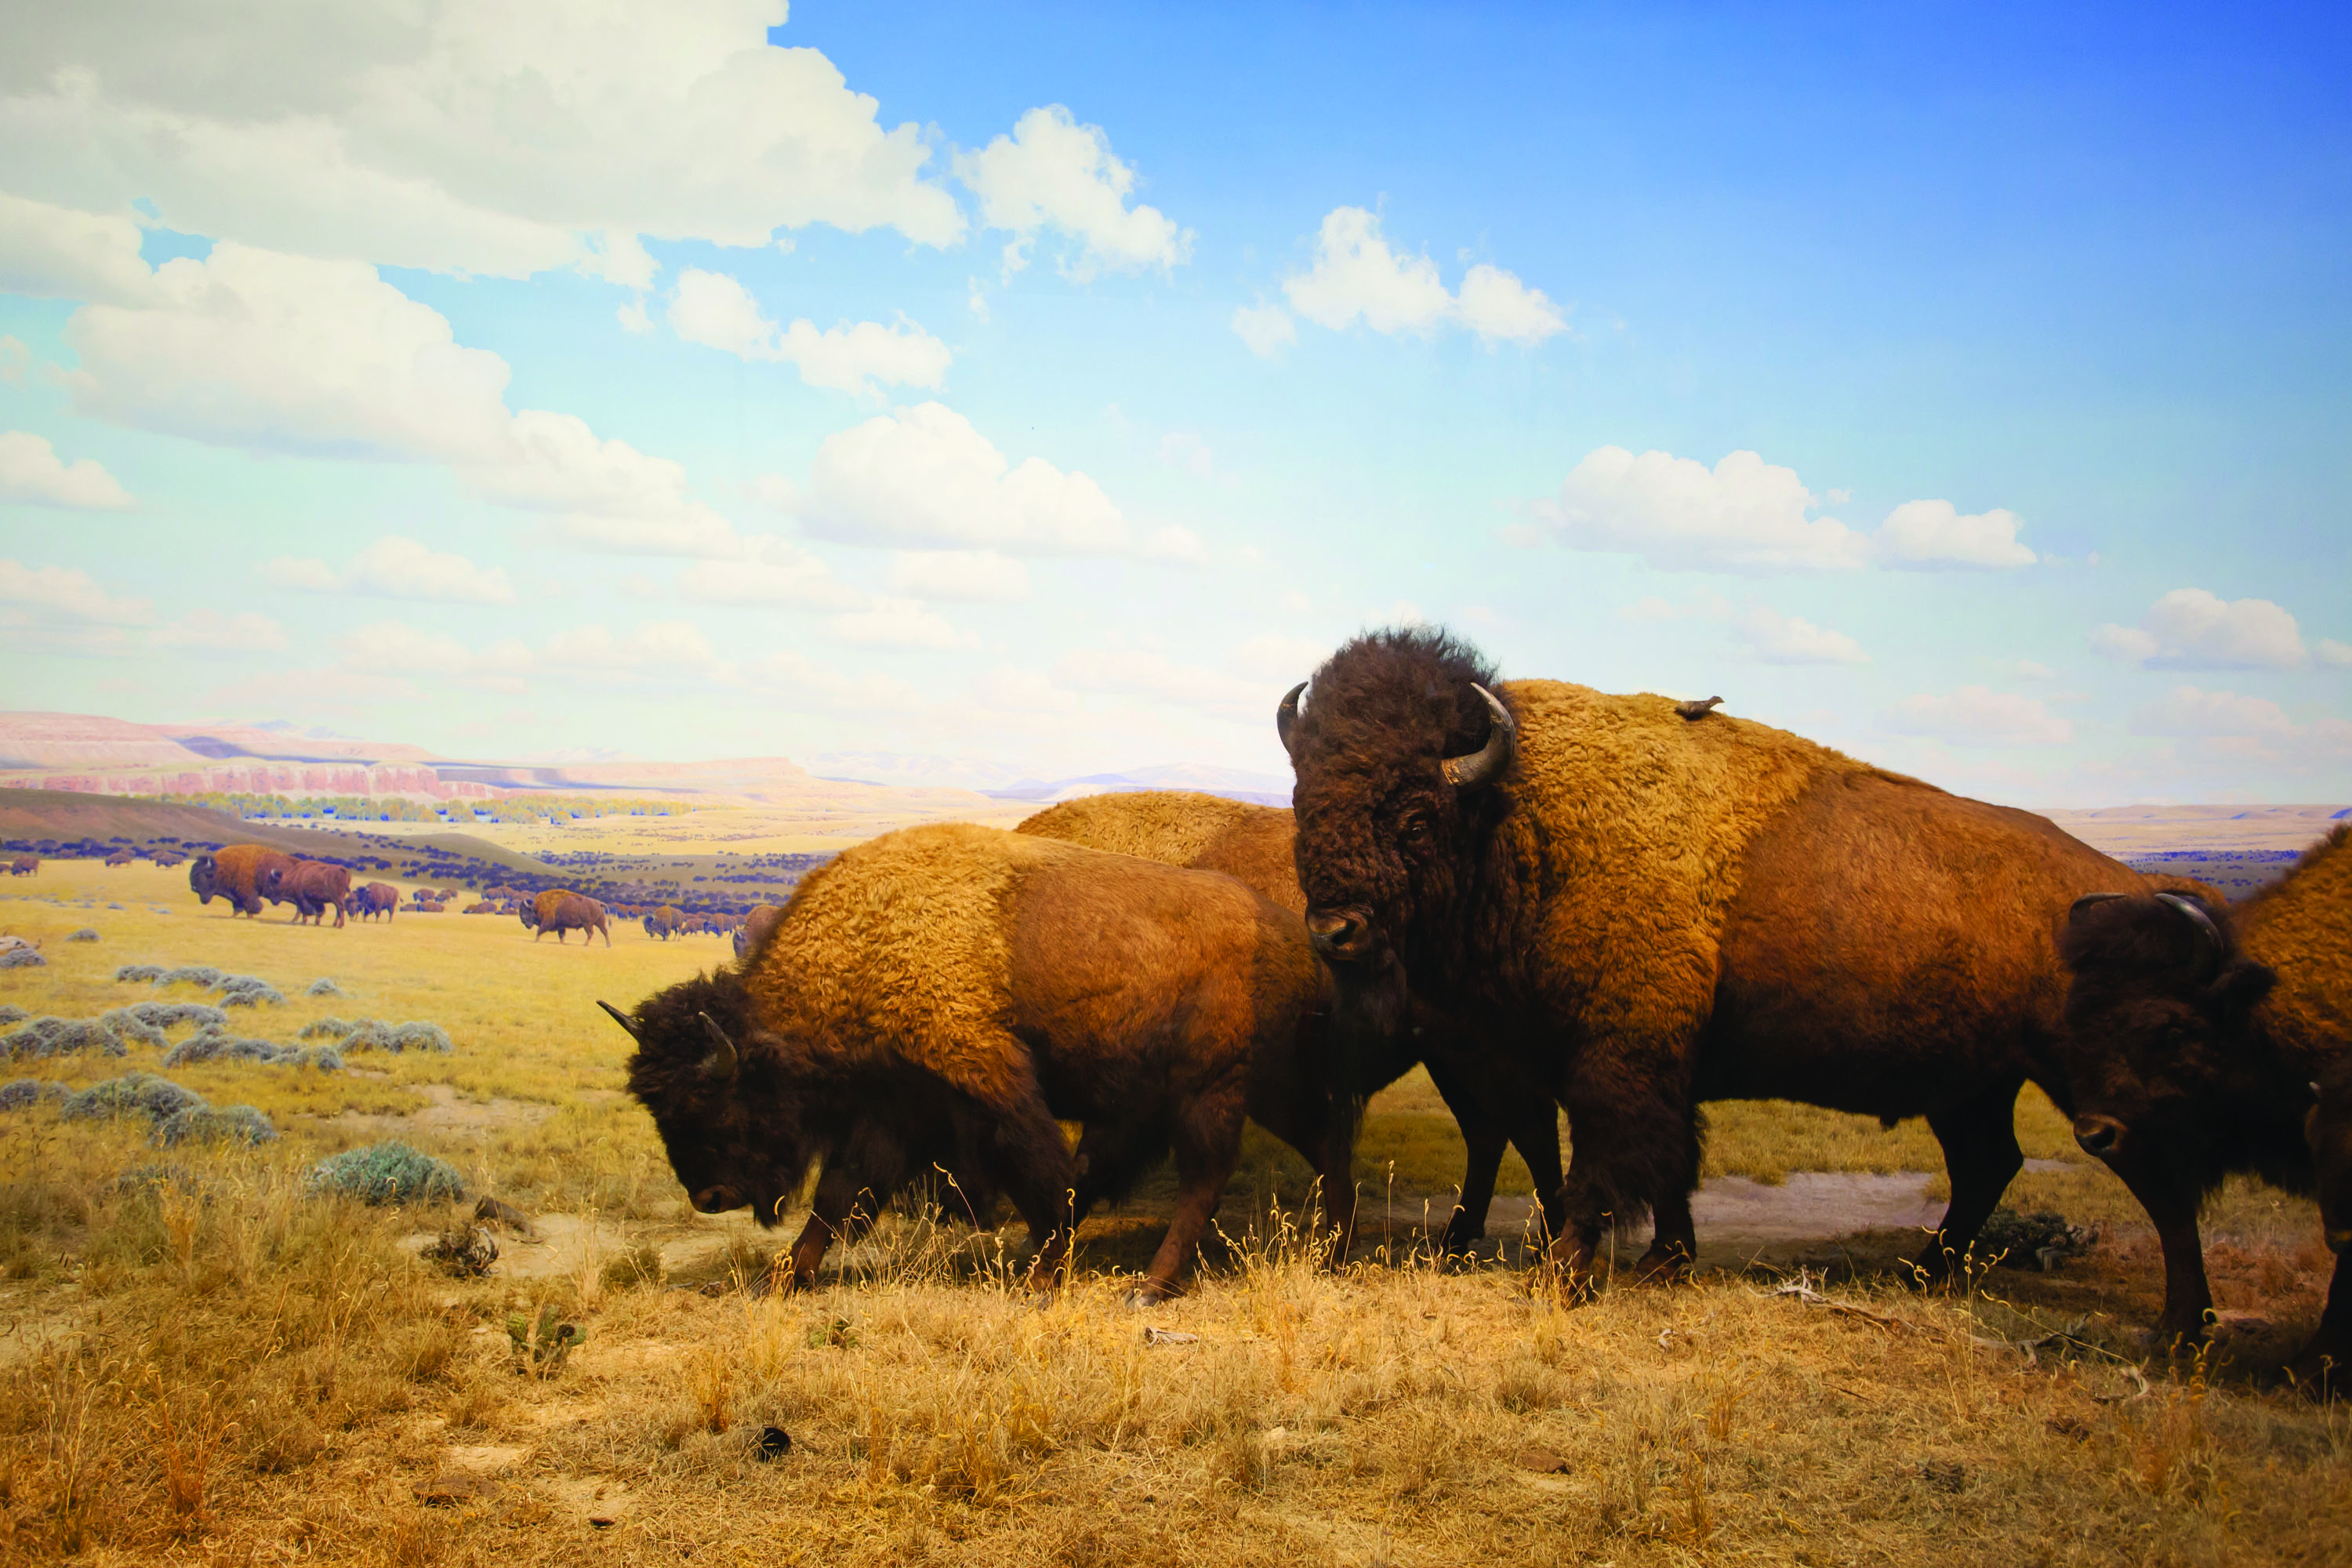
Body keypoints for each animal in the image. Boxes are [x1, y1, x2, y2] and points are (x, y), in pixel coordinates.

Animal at [189, 845, 297, 918]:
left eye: (201, 875)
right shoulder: (237, 897)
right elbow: (239, 908)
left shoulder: (247, 893)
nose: (194, 888)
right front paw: (234, 916)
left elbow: (252, 906)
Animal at [610, 823, 1344, 1299]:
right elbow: (840, 1194)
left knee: (1204, 1182)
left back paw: (1149, 1288)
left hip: (1209, 1094)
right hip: (1248, 1091)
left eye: (717, 1101)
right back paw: (1334, 1249)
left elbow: (1043, 1178)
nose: (709, 1198)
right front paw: (782, 1277)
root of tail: (1294, 938)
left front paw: (1045, 1277)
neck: (869, 942)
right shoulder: (892, 1108)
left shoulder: (989, 1084)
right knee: (1324, 1144)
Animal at [1279, 626, 2169, 1289]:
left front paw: (1567, 1270)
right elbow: (1668, 1162)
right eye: (1305, 798)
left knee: (2136, 1170)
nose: (1335, 931)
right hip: (1976, 1084)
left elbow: (1605, 1160)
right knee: (1988, 1163)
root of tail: (2123, 881)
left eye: (1416, 816)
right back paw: (1926, 1271)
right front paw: (1664, 1259)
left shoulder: (1619, 1055)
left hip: (2077, 1079)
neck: (1518, 813)